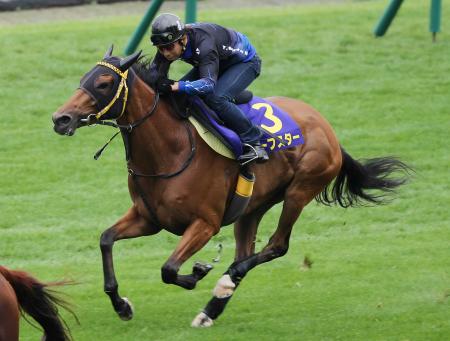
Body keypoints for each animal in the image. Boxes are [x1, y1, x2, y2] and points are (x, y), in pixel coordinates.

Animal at [51, 46, 410, 326]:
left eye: (104, 82)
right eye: (83, 78)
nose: (61, 119)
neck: (171, 150)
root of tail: (327, 128)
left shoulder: (205, 224)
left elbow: (169, 269)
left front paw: (197, 272)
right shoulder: (148, 219)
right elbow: (106, 240)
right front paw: (122, 305)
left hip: (300, 190)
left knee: (275, 246)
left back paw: (224, 281)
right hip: (253, 207)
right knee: (247, 250)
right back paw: (211, 309)